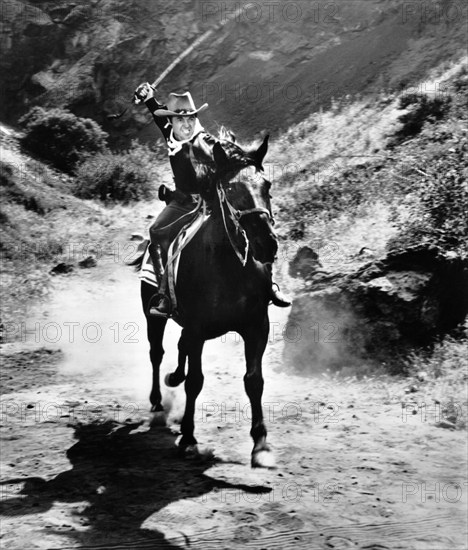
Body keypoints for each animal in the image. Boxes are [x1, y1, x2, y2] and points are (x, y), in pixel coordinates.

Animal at [138, 136, 278, 468]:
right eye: (230, 189)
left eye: (266, 185)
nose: (266, 244)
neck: (229, 266)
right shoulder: (199, 328)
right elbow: (195, 381)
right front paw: (189, 439)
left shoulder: (257, 326)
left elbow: (254, 380)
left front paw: (261, 444)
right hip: (154, 315)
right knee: (156, 353)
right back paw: (157, 404)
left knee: (179, 349)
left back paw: (173, 378)